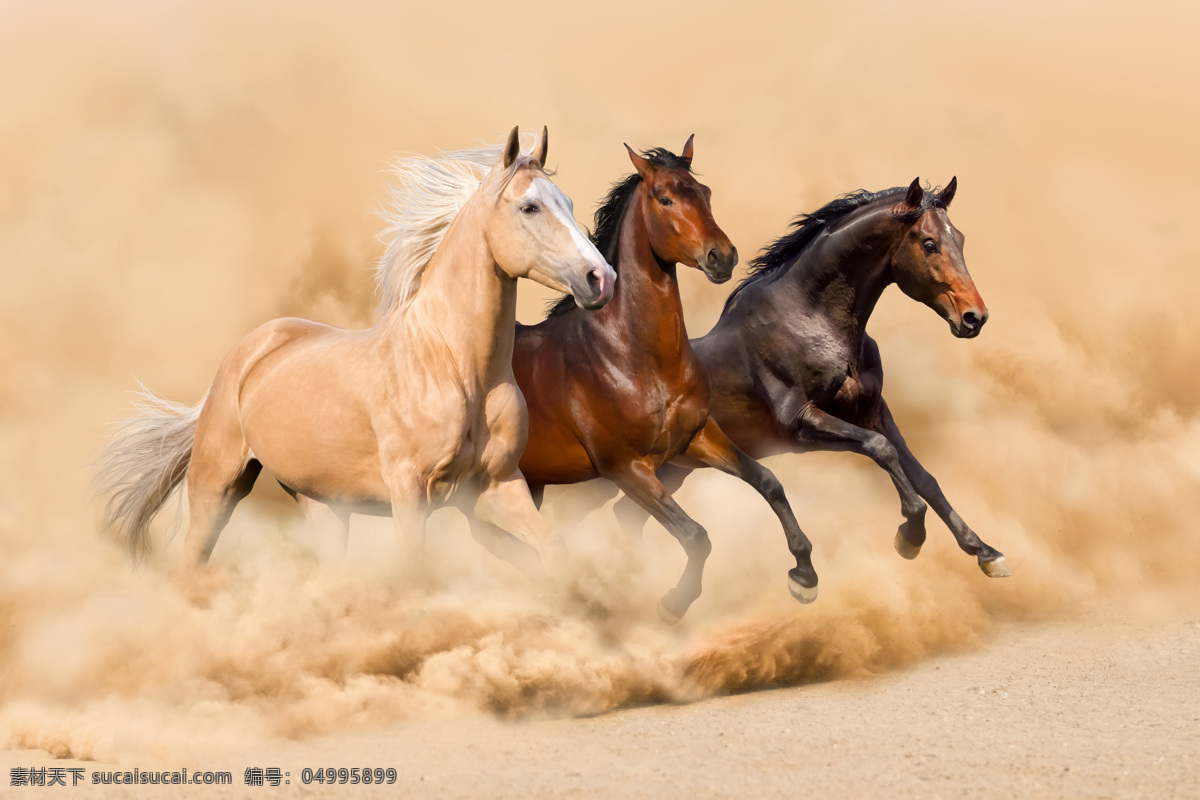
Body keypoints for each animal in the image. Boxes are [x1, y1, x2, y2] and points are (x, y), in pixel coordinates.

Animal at [97, 128, 614, 573]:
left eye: (568, 203)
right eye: (530, 207)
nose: (600, 278)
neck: (456, 367)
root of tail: (246, 353)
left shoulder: (497, 487)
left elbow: (553, 547)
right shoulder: (410, 492)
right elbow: (415, 568)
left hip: (324, 505)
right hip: (217, 486)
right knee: (193, 558)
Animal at [468, 137, 816, 623]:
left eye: (705, 193)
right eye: (665, 198)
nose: (722, 256)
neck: (634, 358)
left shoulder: (696, 437)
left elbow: (767, 481)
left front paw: (804, 576)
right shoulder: (626, 468)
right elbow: (695, 535)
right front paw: (673, 603)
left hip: (529, 484)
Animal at [609, 179, 1012, 587]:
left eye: (959, 238)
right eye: (929, 244)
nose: (975, 317)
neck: (813, 320)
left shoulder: (872, 410)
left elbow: (923, 476)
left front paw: (986, 553)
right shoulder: (802, 423)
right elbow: (881, 450)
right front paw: (910, 535)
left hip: (672, 469)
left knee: (629, 514)